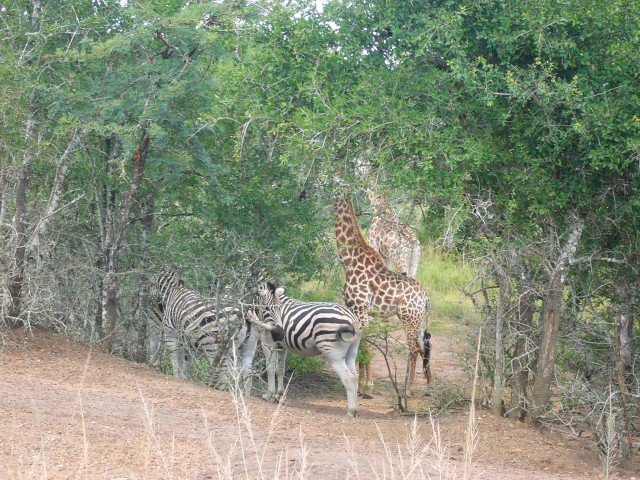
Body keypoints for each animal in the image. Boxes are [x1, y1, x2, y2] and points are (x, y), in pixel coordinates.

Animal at [248, 282, 362, 416]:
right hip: (352, 351)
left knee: (349, 378)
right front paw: (278, 395)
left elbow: (270, 368)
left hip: (332, 352)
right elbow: (280, 369)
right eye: (267, 307)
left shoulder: (268, 342)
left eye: (279, 308)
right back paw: (355, 409)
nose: (280, 333)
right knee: (355, 376)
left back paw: (351, 411)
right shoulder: (281, 346)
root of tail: (352, 318)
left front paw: (269, 395)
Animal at [332, 195, 432, 390]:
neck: (349, 260)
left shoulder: (361, 310)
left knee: (414, 349)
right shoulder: (360, 312)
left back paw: (408, 388)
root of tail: (425, 298)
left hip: (408, 319)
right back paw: (425, 383)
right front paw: (363, 381)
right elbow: (363, 343)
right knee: (423, 346)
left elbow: (364, 345)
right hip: (418, 320)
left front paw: (366, 384)